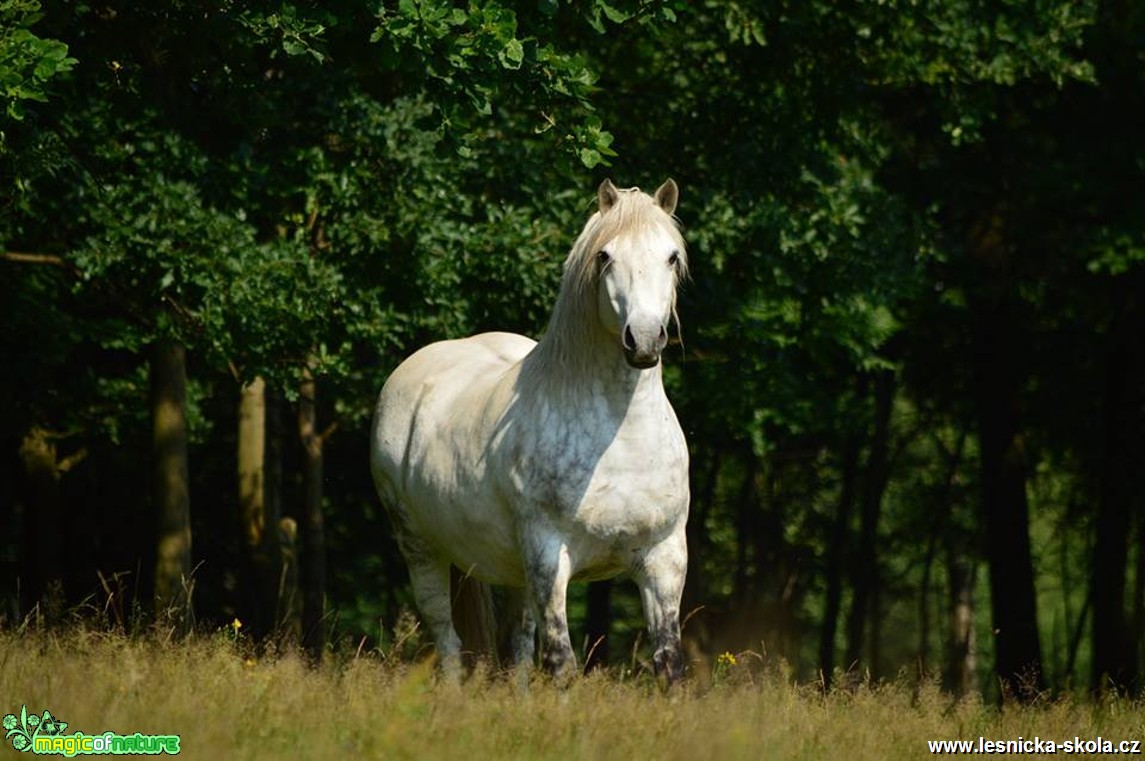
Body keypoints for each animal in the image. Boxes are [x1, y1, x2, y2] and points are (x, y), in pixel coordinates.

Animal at [370, 179, 687, 682]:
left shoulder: (664, 558)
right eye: (605, 256)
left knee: (517, 644)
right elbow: (561, 662)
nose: (643, 338)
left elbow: (668, 663)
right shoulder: (548, 555)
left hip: (512, 569)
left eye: (671, 256)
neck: (620, 440)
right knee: (447, 638)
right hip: (421, 548)